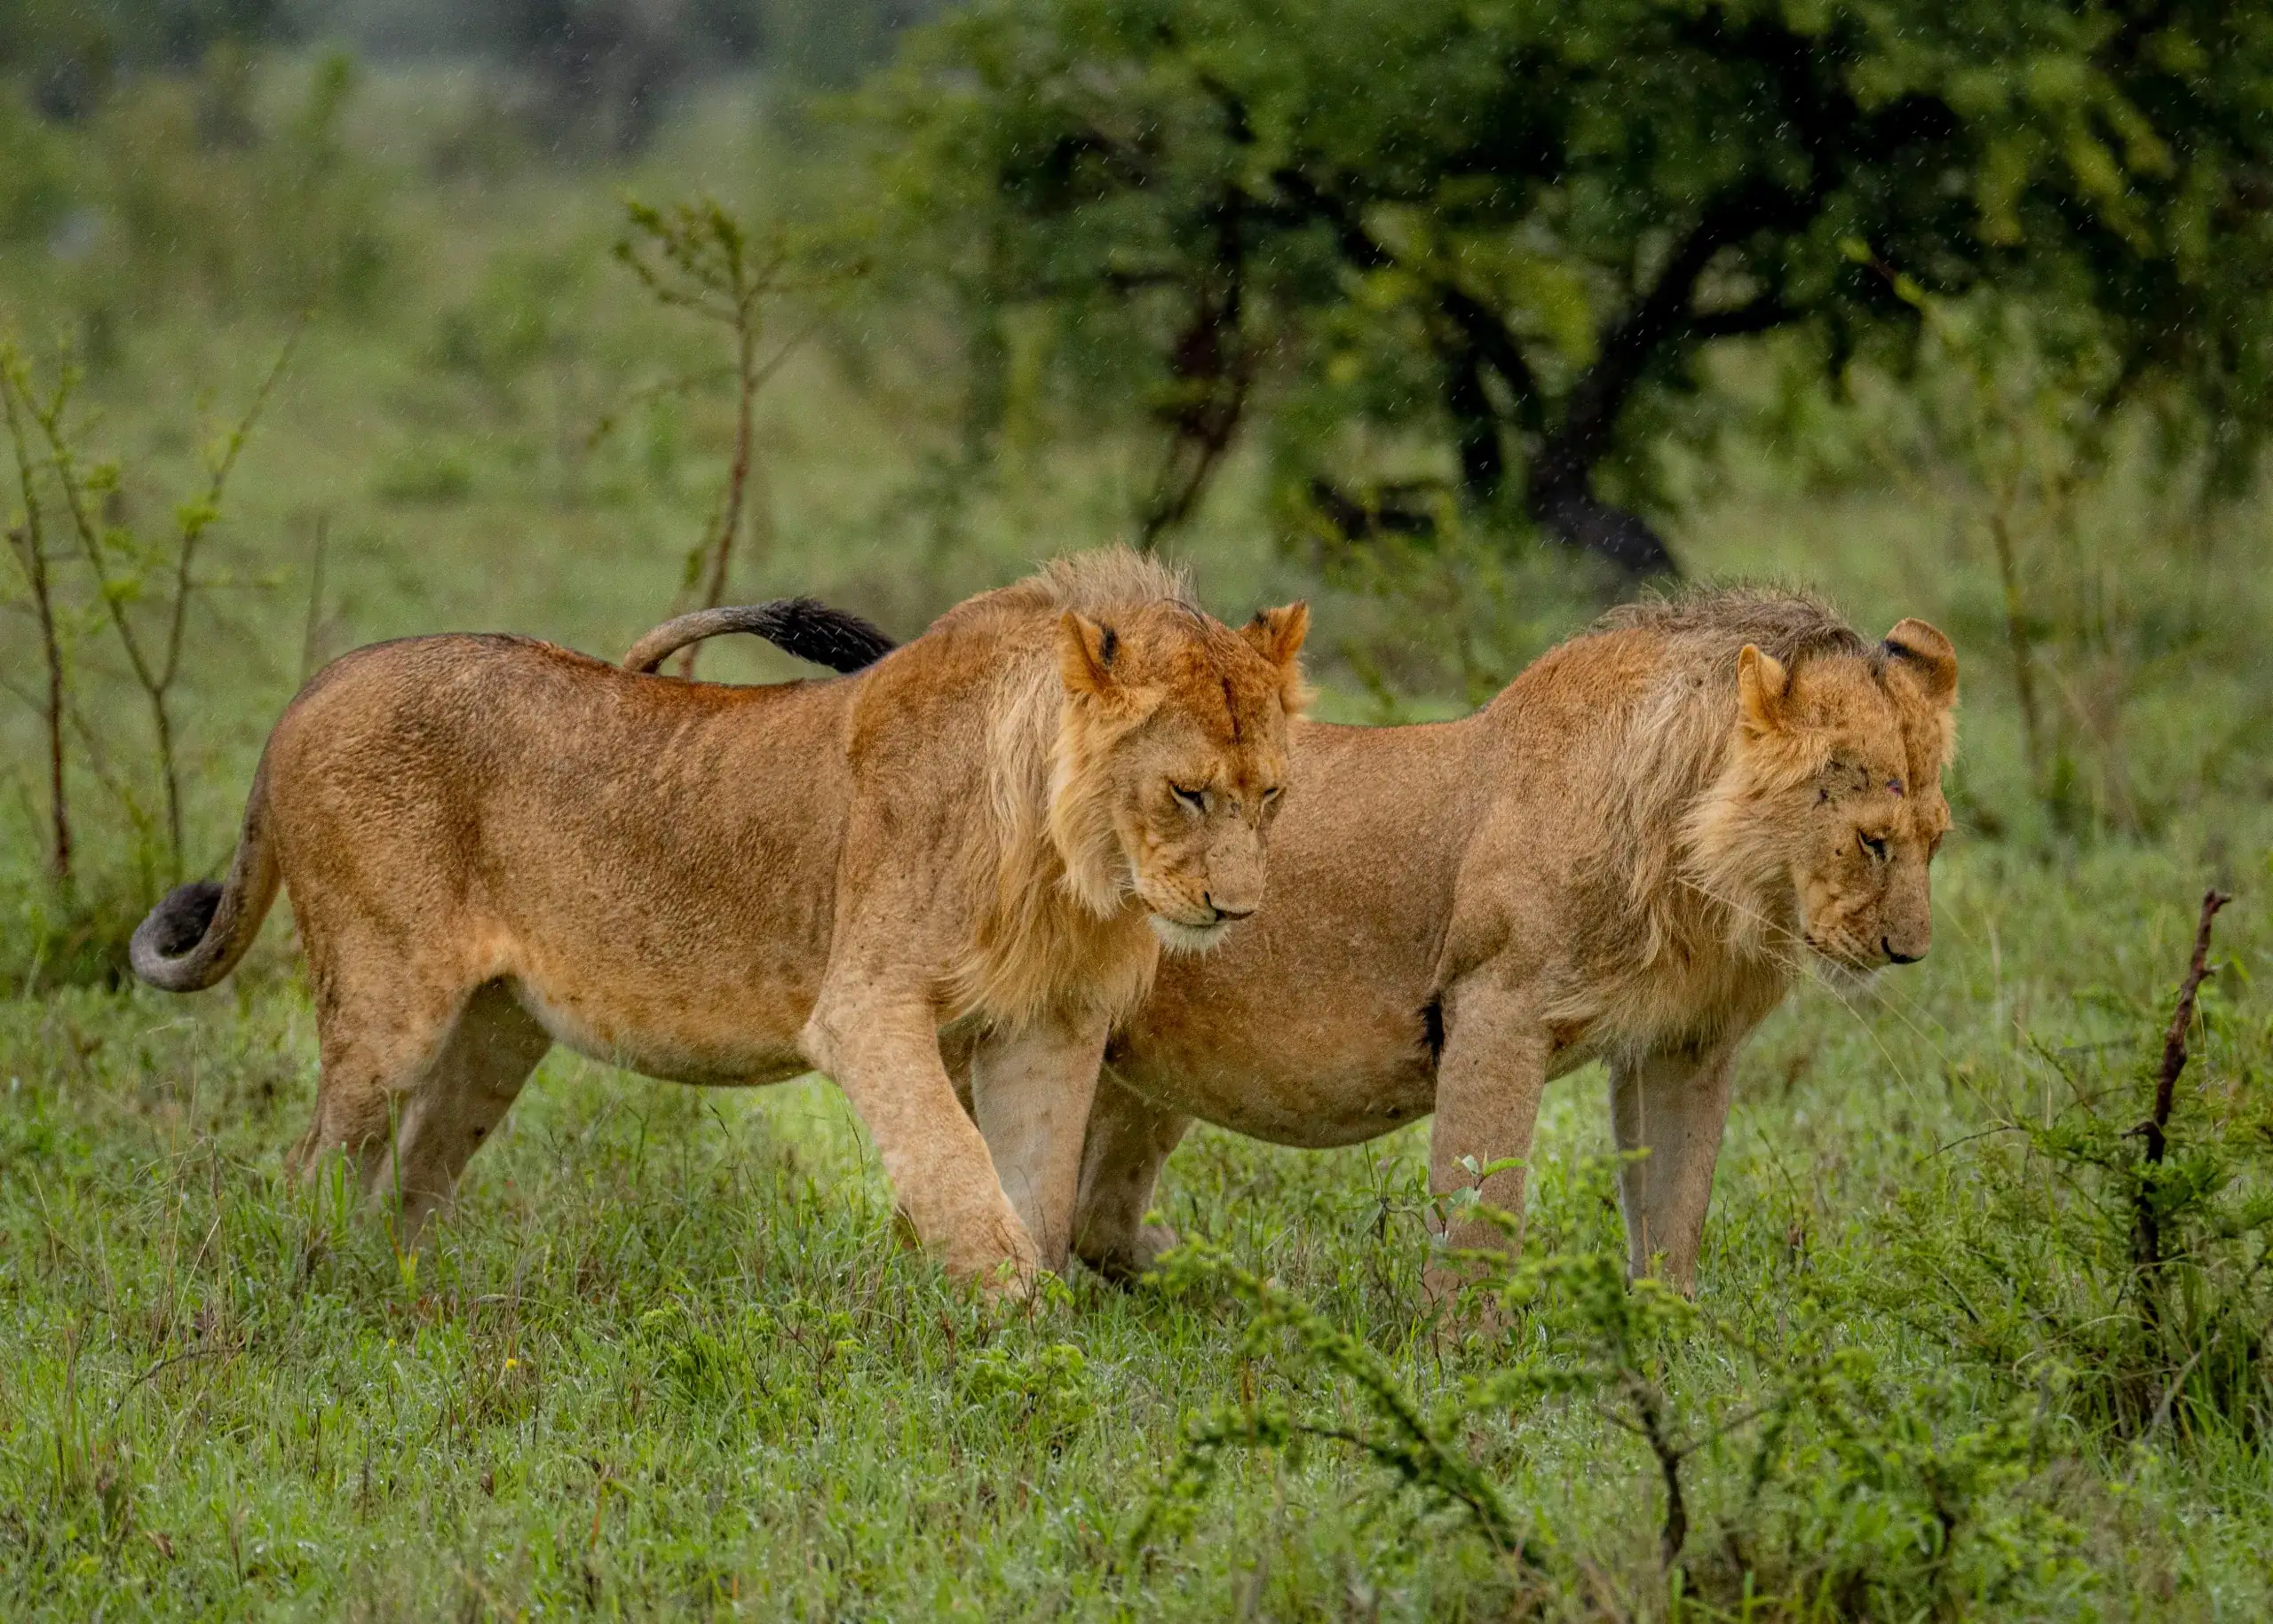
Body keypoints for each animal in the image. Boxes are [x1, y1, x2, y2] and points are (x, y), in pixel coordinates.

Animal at [128, 551, 1310, 1293]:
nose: (1239, 908)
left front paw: (1046, 1347)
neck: (1069, 859)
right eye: (1188, 792)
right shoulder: (867, 1006)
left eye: (1272, 795)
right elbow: (959, 1180)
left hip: (498, 1025)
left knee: (410, 1174)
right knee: (317, 1168)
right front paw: (1015, 1336)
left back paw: (408, 1299)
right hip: (389, 1006)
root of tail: (320, 681)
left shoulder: (1047, 1023)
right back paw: (321, 1298)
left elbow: (1037, 1192)